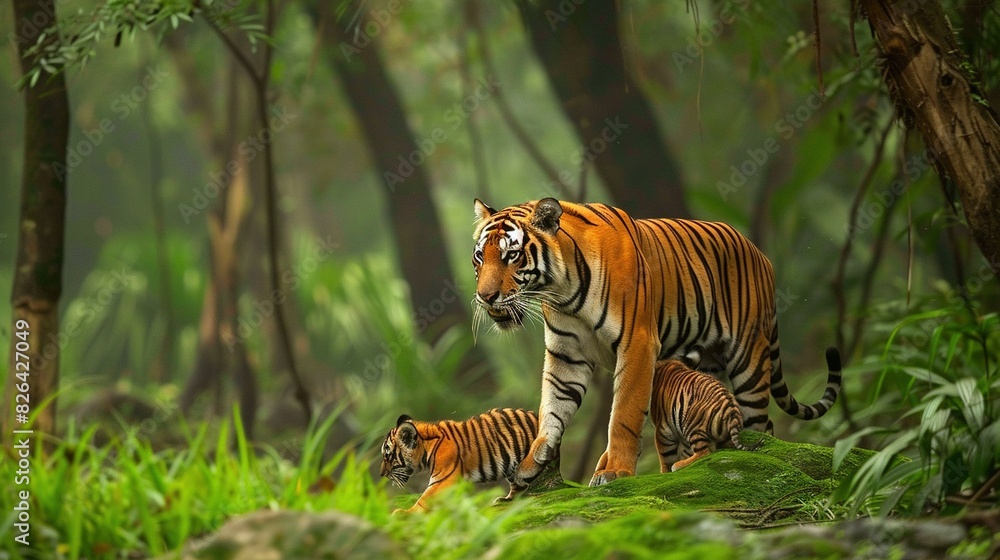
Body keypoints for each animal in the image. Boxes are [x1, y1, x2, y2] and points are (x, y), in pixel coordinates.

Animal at [379, 408, 538, 513]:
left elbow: (424, 500)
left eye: (387, 455)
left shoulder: (443, 479)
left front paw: (403, 513)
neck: (426, 446)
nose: (381, 474)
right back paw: (504, 499)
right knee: (518, 485)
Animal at [471, 198, 842, 490]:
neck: (561, 291)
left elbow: (623, 414)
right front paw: (532, 462)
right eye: (479, 258)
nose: (485, 297)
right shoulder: (567, 356)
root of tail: (760, 254)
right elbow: (552, 408)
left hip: (749, 361)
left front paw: (616, 471)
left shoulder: (638, 344)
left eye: (512, 256)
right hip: (705, 371)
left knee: (760, 424)